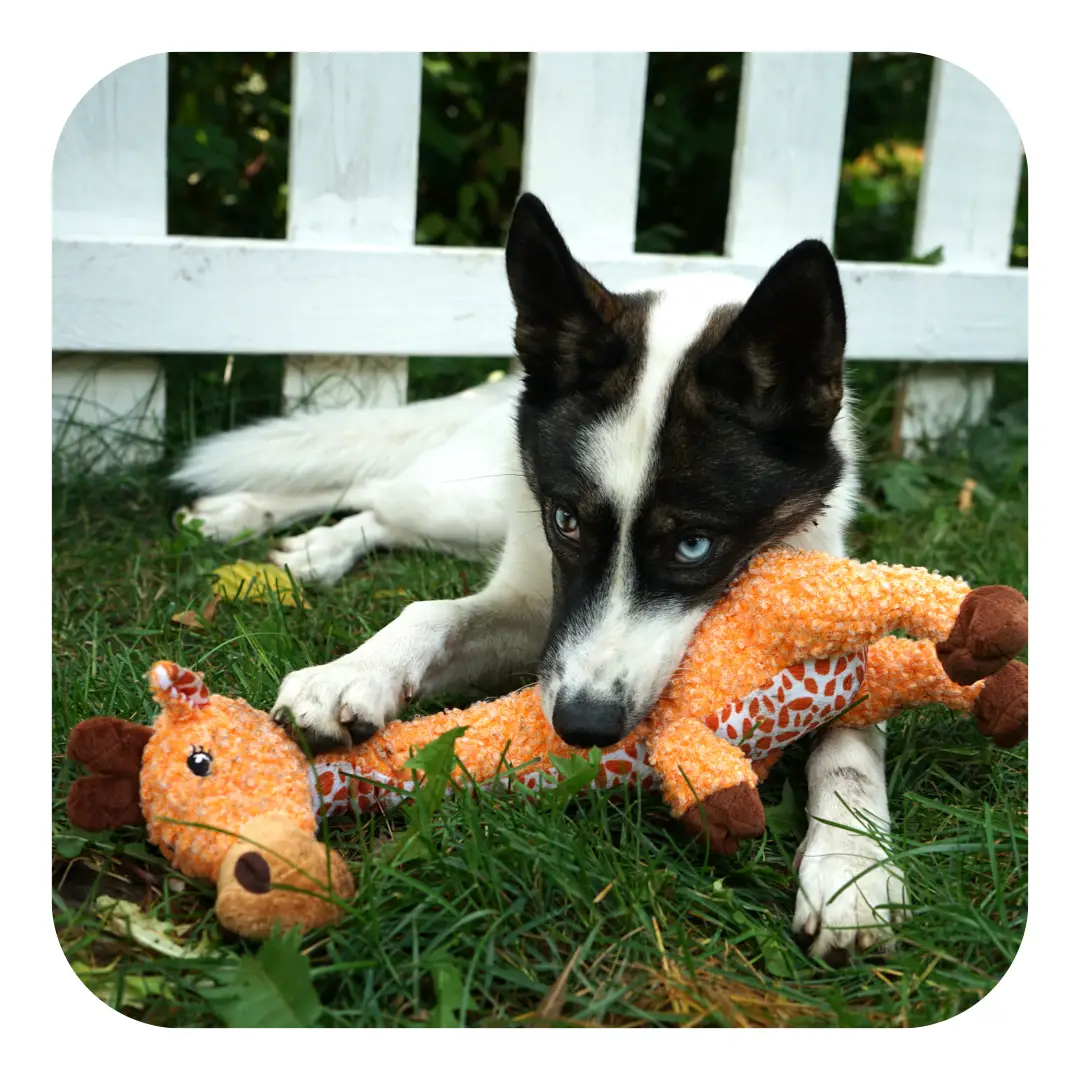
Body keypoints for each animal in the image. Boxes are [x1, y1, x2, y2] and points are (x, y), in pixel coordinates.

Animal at [173, 193, 906, 961]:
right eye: (567, 520)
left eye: (695, 545)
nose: (584, 727)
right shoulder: (540, 596)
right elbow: (432, 611)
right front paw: (351, 672)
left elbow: (854, 741)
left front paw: (854, 866)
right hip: (461, 497)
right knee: (372, 487)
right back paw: (246, 517)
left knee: (378, 505)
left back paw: (307, 547)